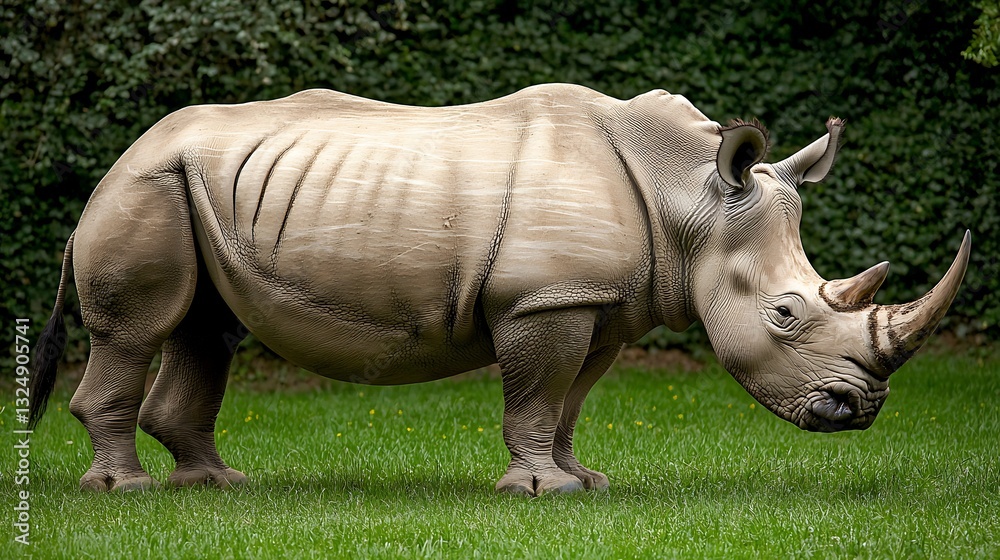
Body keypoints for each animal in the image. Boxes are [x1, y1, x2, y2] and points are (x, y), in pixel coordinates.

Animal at [29, 84, 970, 495]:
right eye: (784, 312)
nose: (856, 412)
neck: (691, 200)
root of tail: (118, 159)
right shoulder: (543, 299)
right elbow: (536, 393)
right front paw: (542, 493)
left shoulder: (596, 303)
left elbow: (572, 399)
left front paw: (583, 480)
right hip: (146, 186)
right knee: (139, 329)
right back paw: (127, 492)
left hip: (189, 187)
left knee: (204, 330)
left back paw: (216, 485)